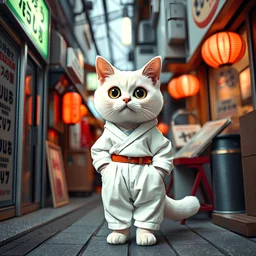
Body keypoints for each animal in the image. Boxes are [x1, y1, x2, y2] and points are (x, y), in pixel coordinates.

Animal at [90, 56, 200, 246]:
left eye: (139, 93)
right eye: (114, 93)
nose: (126, 99)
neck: (128, 127)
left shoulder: (160, 141)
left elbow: (163, 153)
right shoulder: (102, 143)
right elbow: (99, 153)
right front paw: (119, 235)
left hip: (151, 190)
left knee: (147, 215)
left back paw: (145, 235)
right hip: (114, 192)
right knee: (119, 213)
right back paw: (119, 234)